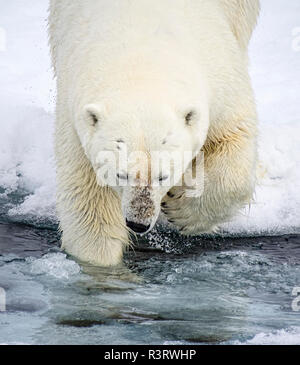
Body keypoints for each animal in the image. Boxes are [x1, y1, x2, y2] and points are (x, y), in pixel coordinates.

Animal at [49, 1, 260, 266]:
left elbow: (233, 140)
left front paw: (181, 210)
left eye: (163, 176)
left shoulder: (219, 76)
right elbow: (89, 198)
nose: (138, 223)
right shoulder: (76, 117)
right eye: (120, 174)